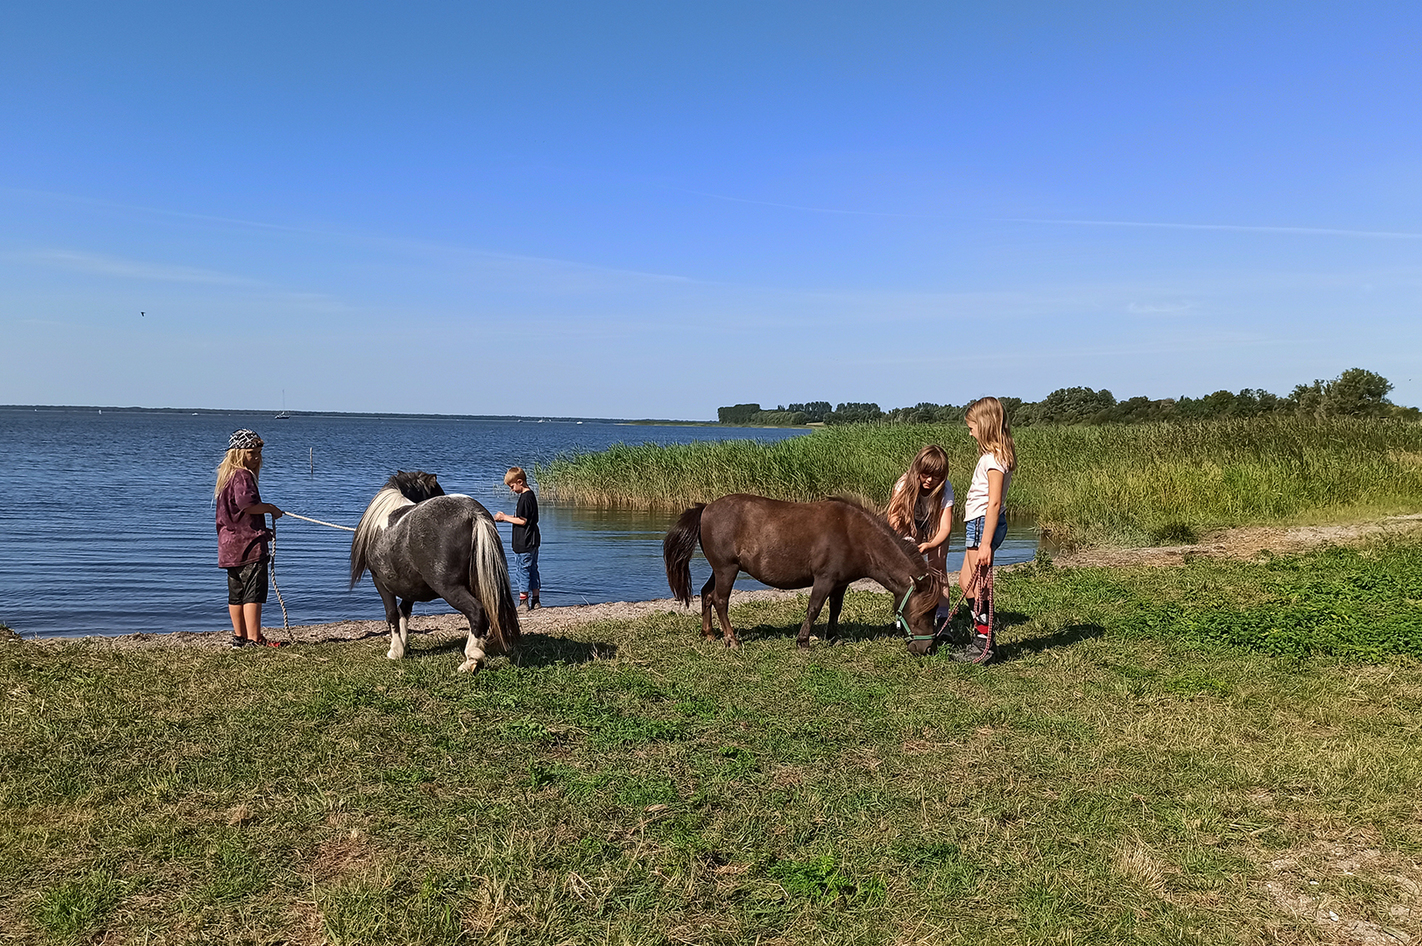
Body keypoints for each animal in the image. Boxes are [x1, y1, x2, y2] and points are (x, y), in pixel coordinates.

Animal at [351, 472, 523, 671]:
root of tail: (472, 513)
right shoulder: (410, 587)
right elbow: (404, 612)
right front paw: (404, 646)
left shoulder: (380, 582)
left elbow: (392, 614)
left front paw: (395, 651)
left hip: (449, 588)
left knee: (477, 612)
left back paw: (470, 660)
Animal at [665, 495, 944, 648]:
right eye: (923, 614)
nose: (927, 649)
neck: (855, 535)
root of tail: (706, 508)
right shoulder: (824, 579)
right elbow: (814, 608)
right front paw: (803, 641)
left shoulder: (840, 583)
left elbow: (834, 610)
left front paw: (832, 636)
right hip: (727, 569)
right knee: (720, 600)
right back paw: (731, 638)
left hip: (720, 569)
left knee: (707, 594)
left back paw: (710, 634)